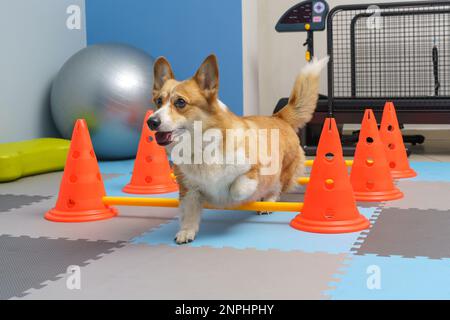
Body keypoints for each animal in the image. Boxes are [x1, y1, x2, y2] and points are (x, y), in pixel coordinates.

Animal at [149, 54, 328, 242]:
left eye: (180, 102)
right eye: (158, 101)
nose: (151, 122)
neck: (201, 148)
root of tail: (279, 117)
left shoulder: (253, 169)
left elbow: (237, 189)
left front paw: (230, 197)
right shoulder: (189, 189)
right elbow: (189, 213)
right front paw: (186, 232)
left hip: (282, 173)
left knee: (276, 188)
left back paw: (266, 202)